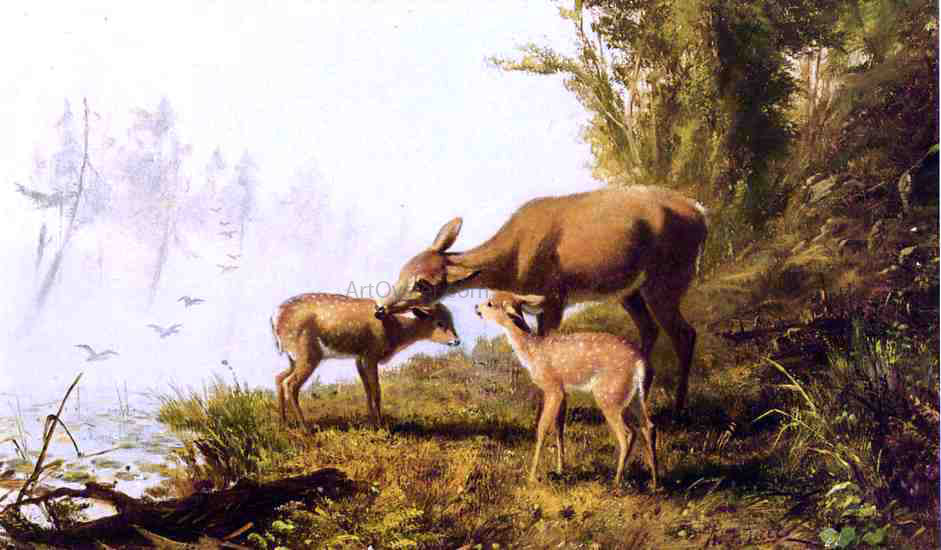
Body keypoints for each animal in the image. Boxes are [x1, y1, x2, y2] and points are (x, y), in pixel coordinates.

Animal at [271, 293, 460, 428]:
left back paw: (284, 423)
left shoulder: (359, 357)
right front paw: (381, 425)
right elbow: (376, 391)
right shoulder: (371, 354)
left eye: (451, 319)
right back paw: (305, 428)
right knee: (291, 384)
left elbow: (367, 389)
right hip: (308, 354)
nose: (456, 341)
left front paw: (371, 422)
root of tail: (274, 319)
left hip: (292, 358)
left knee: (279, 378)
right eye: (439, 323)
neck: (395, 329)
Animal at [374, 185, 707, 415]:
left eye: (422, 284)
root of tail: (701, 213)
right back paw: (641, 396)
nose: (380, 308)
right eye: (402, 271)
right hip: (629, 291)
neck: (514, 262)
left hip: (667, 278)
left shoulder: (555, 296)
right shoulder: (534, 304)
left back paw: (678, 409)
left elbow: (548, 345)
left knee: (685, 333)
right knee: (649, 329)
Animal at [475, 292, 657, 489]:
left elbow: (542, 429)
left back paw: (616, 482)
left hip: (609, 396)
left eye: (490, 303)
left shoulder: (553, 387)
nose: (476, 308)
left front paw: (531, 477)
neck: (533, 353)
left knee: (627, 433)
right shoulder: (564, 393)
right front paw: (560, 470)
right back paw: (654, 483)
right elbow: (559, 428)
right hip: (635, 397)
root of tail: (640, 363)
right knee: (648, 427)